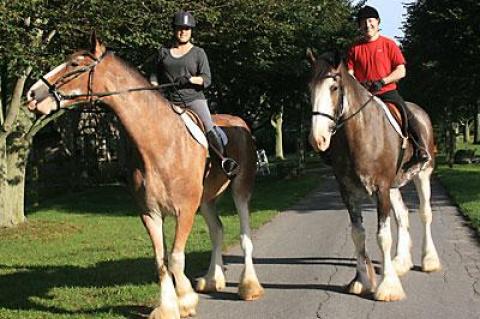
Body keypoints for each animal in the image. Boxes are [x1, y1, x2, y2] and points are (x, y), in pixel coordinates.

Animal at [27, 33, 262, 319]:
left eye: (74, 64)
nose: (32, 94)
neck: (160, 143)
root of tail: (240, 122)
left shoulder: (184, 210)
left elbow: (176, 258)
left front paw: (185, 301)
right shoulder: (150, 213)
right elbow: (160, 261)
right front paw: (168, 307)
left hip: (240, 190)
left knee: (244, 237)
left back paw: (249, 287)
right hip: (205, 200)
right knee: (217, 231)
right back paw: (210, 280)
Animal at [306, 50, 440, 302]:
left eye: (334, 87)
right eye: (309, 88)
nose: (317, 139)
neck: (360, 133)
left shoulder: (380, 189)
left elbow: (383, 235)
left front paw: (388, 286)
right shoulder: (349, 193)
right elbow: (358, 235)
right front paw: (360, 281)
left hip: (422, 175)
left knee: (424, 213)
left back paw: (429, 260)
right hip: (394, 186)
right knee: (402, 216)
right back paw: (401, 262)